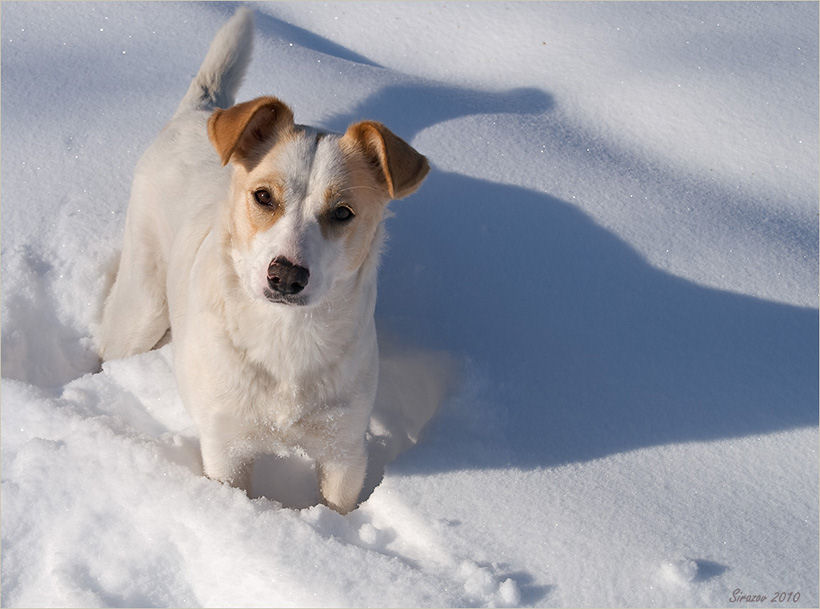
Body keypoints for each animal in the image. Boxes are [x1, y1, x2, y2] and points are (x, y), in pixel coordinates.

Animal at [96, 9, 430, 512]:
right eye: (263, 196)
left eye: (343, 212)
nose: (286, 275)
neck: (285, 340)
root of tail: (197, 113)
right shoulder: (227, 449)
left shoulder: (344, 453)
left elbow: (338, 505)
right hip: (141, 308)